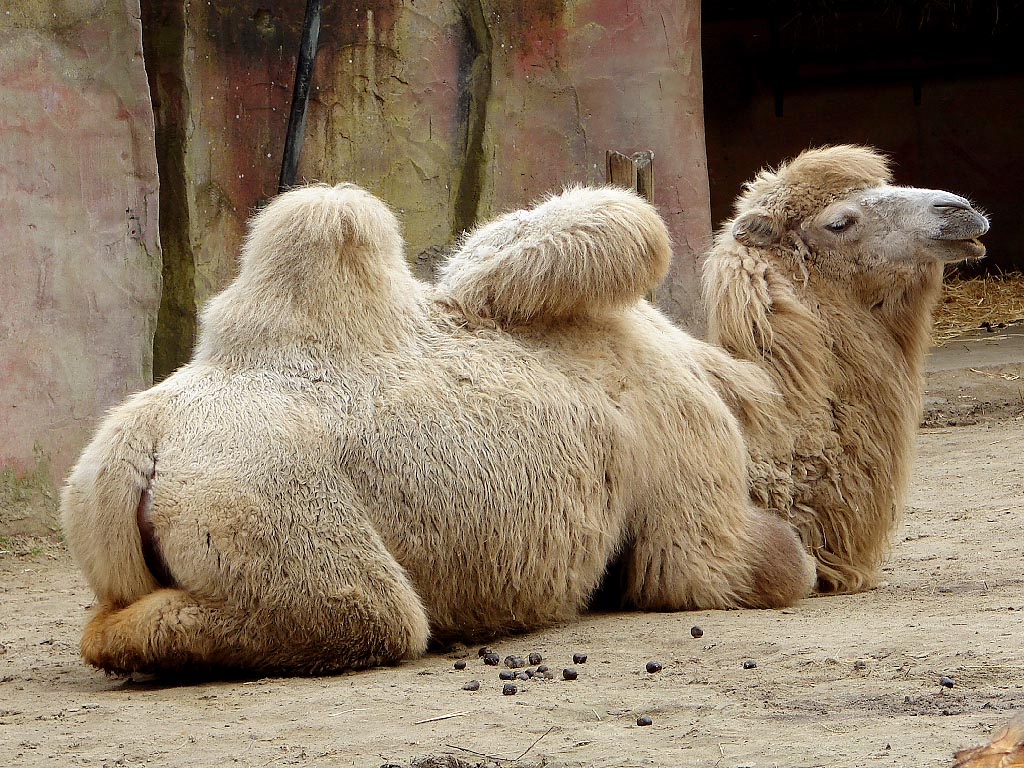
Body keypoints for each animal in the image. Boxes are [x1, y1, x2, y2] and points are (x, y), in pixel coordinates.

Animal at [61, 183, 814, 677]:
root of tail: (138, 445)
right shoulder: (681, 446)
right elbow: (732, 567)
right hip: (262, 498)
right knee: (368, 614)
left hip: (98, 502)